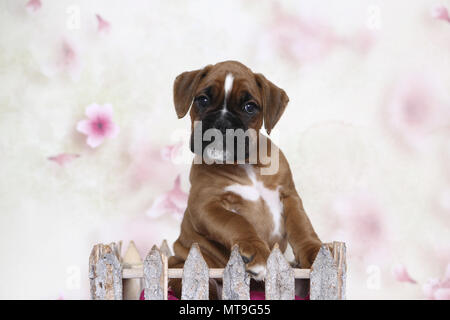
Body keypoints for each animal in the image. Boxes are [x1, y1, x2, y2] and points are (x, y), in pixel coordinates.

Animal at [168, 60, 320, 300]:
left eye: (250, 107)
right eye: (202, 100)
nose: (221, 124)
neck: (246, 165)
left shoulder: (289, 196)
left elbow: (302, 226)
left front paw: (315, 252)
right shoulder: (205, 206)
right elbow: (237, 221)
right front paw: (256, 251)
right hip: (184, 269)